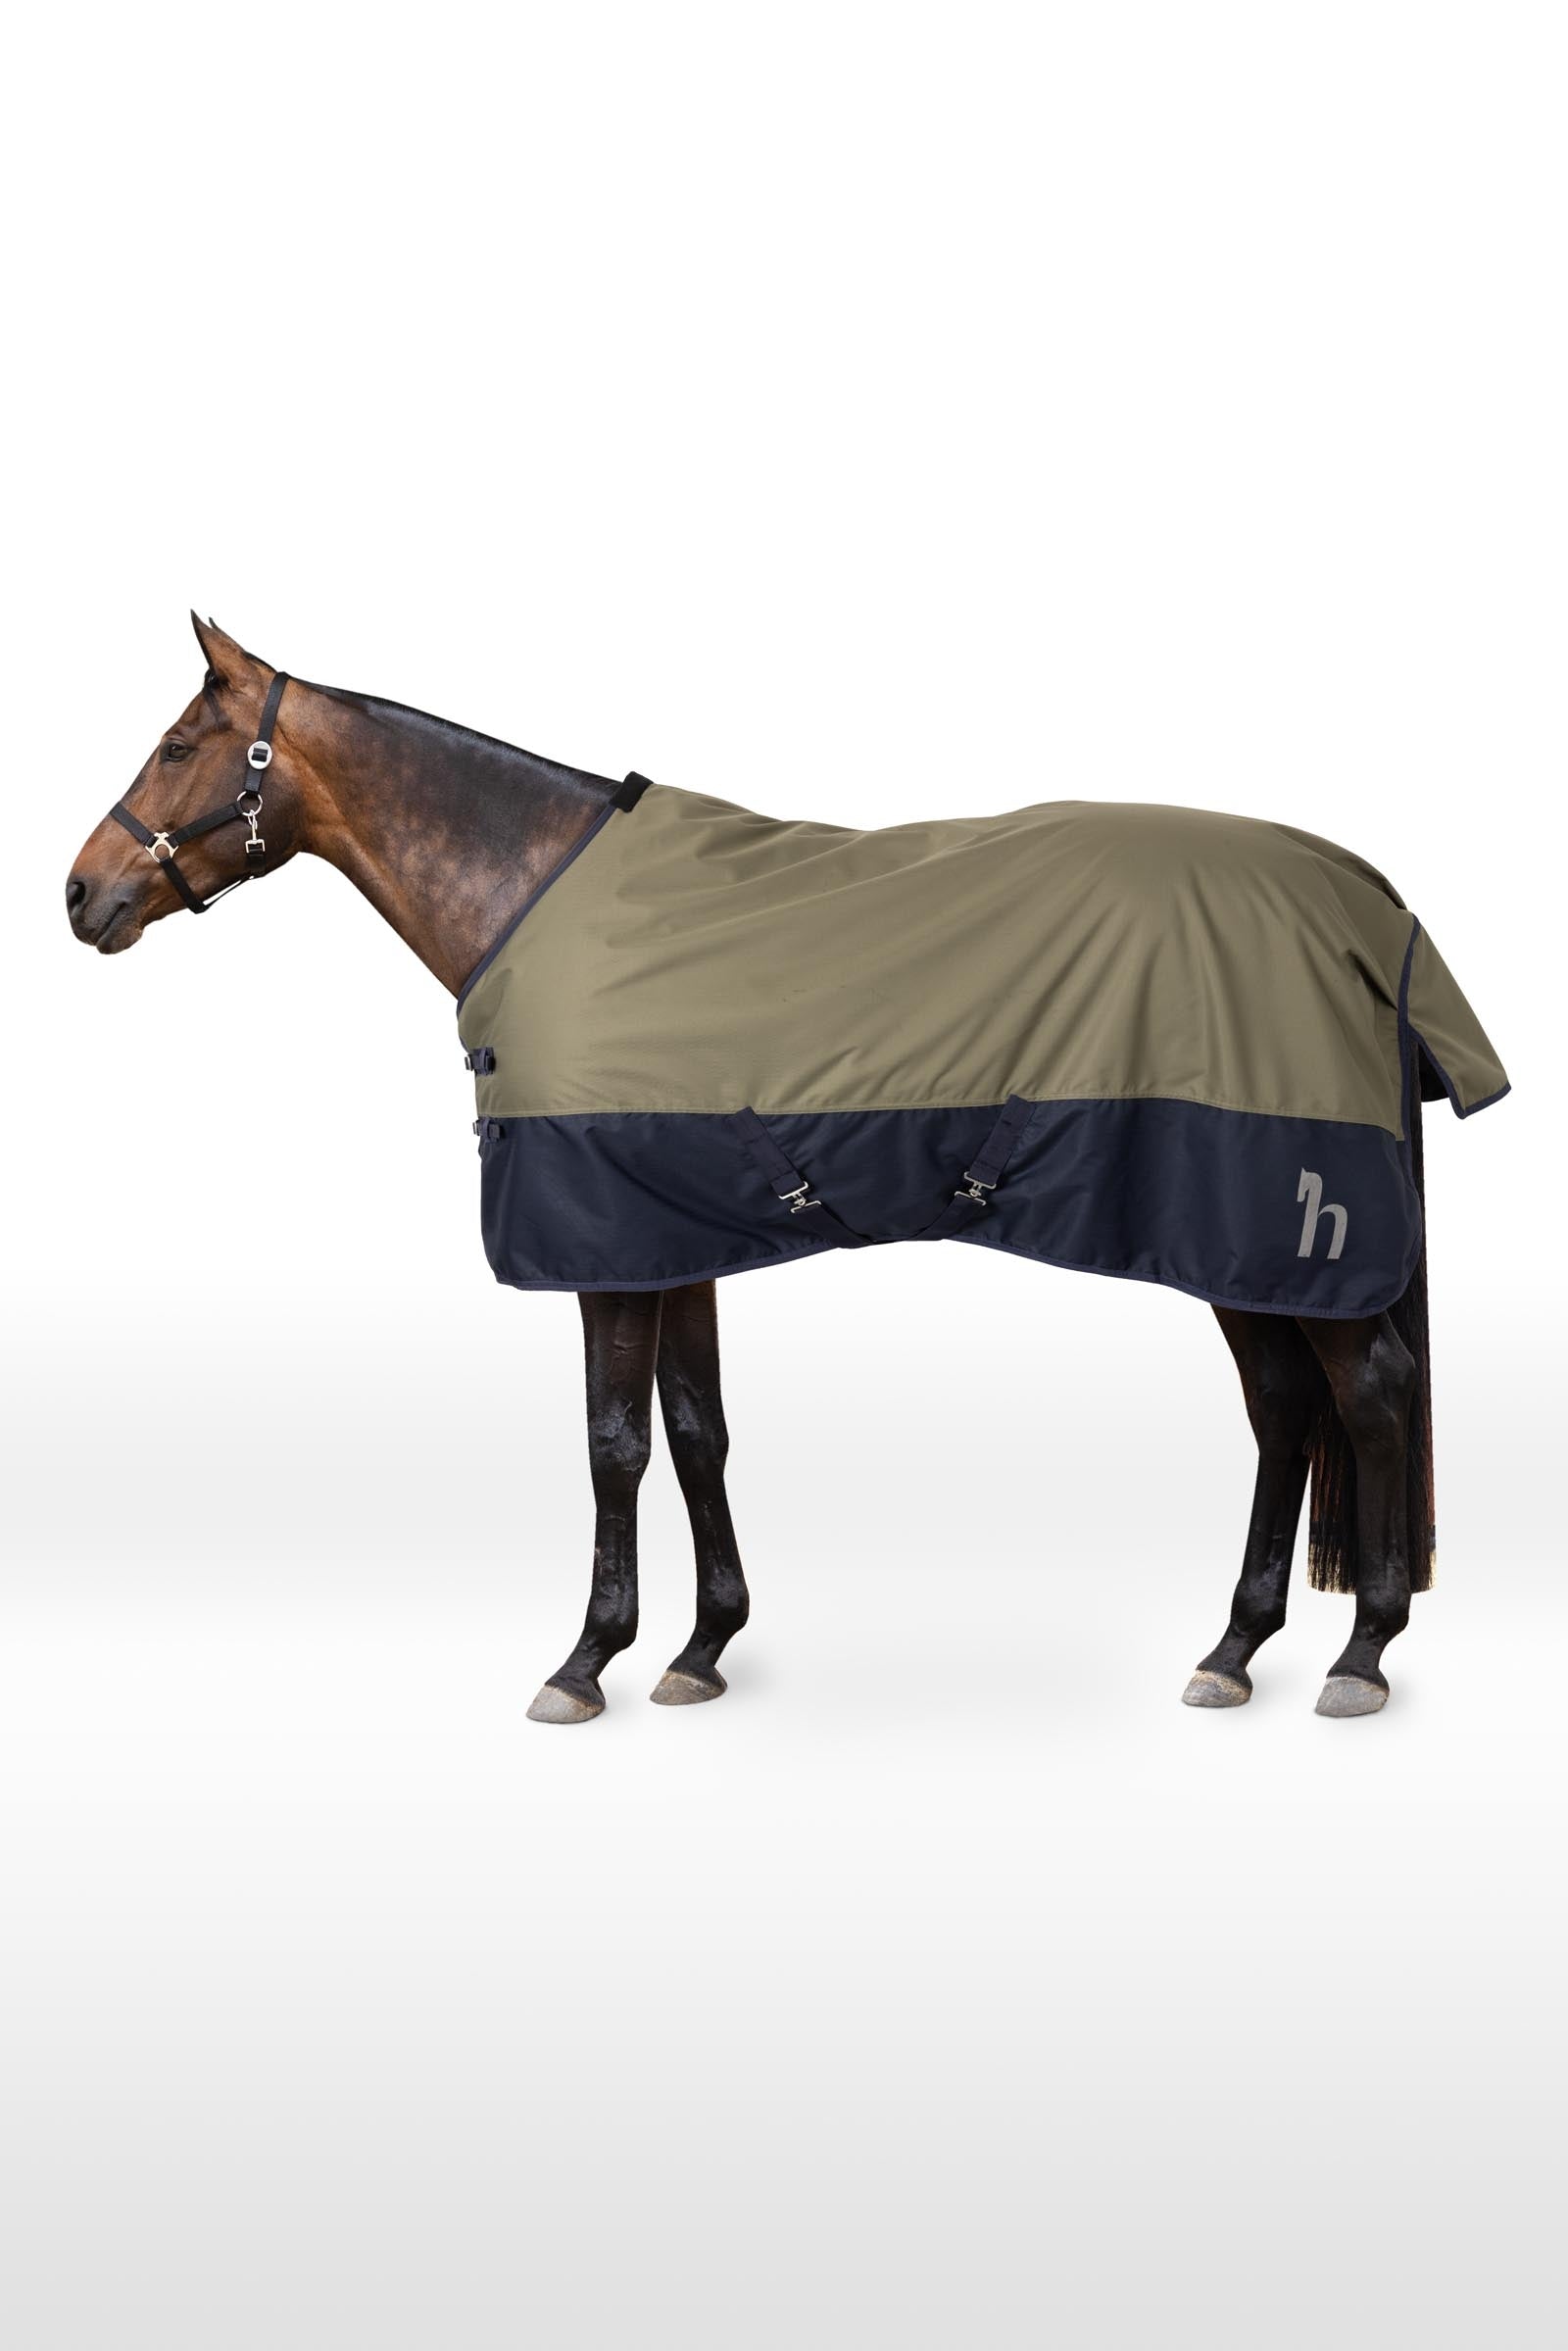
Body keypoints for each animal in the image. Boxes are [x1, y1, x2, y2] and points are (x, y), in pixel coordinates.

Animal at [65, 616, 1507, 1725]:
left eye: (180, 745)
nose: (80, 894)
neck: (534, 892)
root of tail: (1364, 900)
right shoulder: (673, 1230)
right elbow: (695, 1429)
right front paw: (702, 1647)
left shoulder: (602, 1244)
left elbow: (611, 1444)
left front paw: (585, 1661)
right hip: (1229, 1235)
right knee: (1285, 1406)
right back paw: (1235, 1648)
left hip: (1280, 1217)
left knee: (1368, 1393)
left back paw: (1362, 1653)